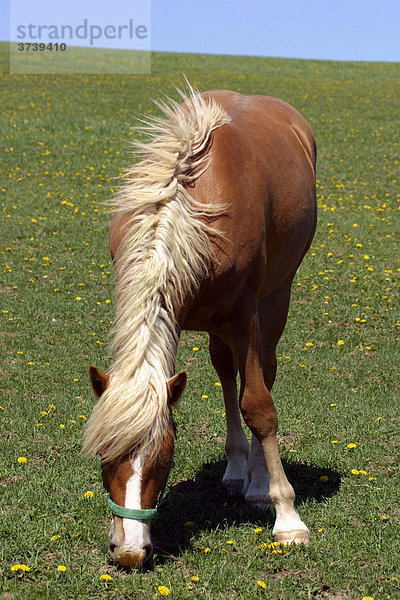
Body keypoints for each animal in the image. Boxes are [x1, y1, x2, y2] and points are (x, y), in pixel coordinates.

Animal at [83, 84, 318, 568]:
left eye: (165, 459)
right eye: (103, 456)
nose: (129, 552)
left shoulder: (245, 314)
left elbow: (259, 406)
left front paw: (288, 518)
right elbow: (233, 386)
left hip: (275, 297)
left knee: (261, 373)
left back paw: (259, 484)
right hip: (215, 322)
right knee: (226, 372)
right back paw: (236, 469)